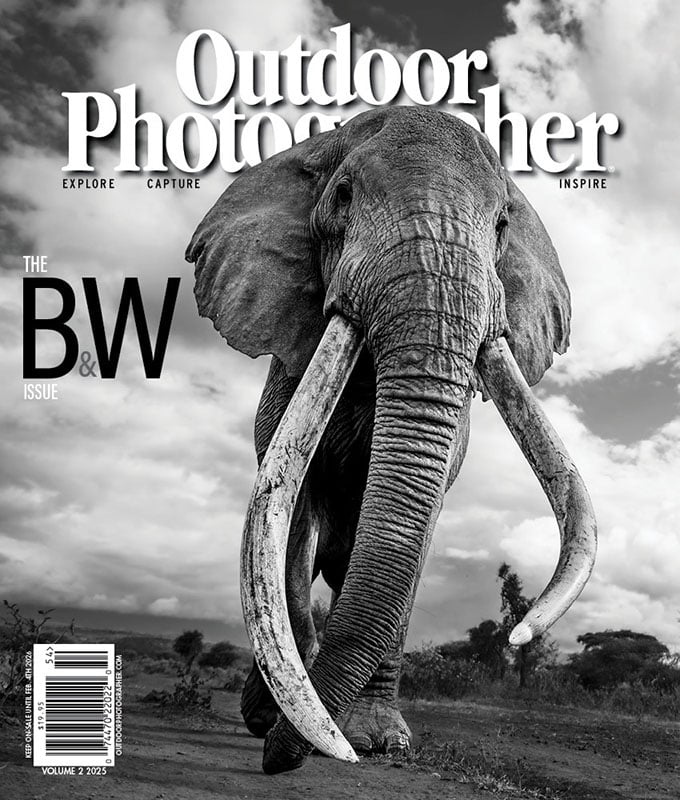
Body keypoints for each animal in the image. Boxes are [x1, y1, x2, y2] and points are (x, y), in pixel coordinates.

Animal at [185, 106, 597, 774]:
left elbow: (414, 543)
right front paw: (293, 725)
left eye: (503, 224)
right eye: (343, 196)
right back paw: (266, 714)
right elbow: (288, 528)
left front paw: (380, 742)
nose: (277, 760)